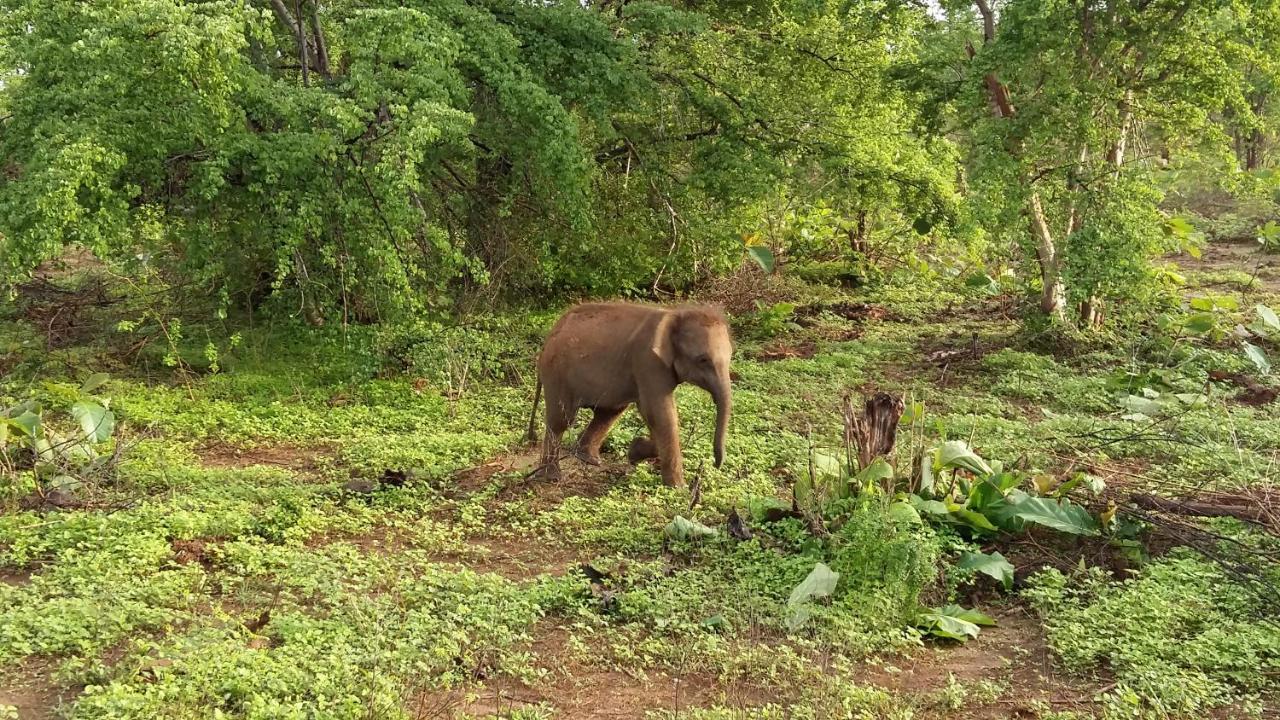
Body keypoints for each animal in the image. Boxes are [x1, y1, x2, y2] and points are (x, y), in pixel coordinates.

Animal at [524, 299, 737, 484]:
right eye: (703, 360)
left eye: (730, 357)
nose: (716, 464)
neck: (674, 313)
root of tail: (550, 335)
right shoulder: (647, 362)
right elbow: (661, 413)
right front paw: (678, 488)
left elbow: (652, 414)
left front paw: (635, 452)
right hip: (556, 371)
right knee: (561, 420)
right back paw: (552, 477)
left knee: (609, 412)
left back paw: (589, 459)